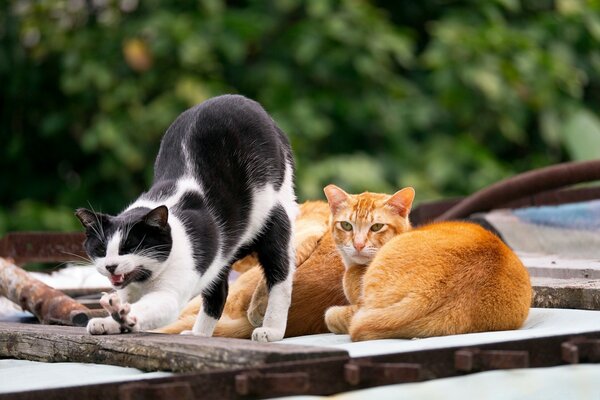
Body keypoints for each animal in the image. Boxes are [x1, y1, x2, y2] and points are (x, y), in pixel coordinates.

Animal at [77, 95, 298, 342]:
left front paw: (124, 316)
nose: (111, 265)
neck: (145, 279)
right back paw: (199, 334)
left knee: (280, 274)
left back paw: (271, 330)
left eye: (131, 246)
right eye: (101, 249)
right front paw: (110, 321)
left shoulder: (172, 289)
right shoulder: (127, 289)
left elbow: (152, 306)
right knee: (218, 292)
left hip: (275, 215)